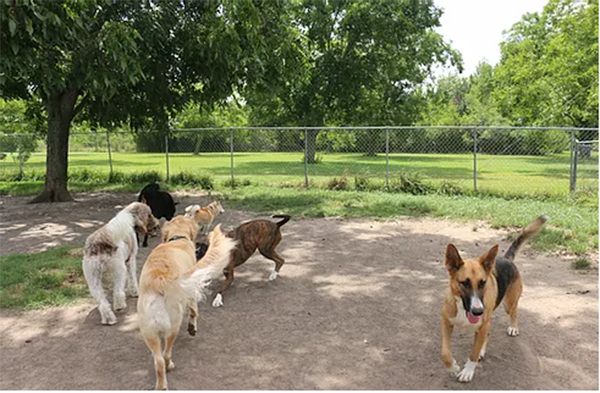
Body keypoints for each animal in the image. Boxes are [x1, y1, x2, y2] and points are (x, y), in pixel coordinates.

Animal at [137, 217, 236, 388]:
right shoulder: (190, 289)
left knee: (158, 360)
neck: (177, 238)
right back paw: (170, 366)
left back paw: (161, 385)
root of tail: (159, 279)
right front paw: (192, 328)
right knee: (166, 354)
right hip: (173, 325)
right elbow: (194, 310)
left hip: (148, 331)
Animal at [440, 213, 548, 382]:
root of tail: (506, 259)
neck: (464, 309)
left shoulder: (482, 325)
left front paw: (468, 371)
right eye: (464, 283)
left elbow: (473, 353)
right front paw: (453, 367)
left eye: (483, 282)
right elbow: (444, 353)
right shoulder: (446, 322)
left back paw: (513, 327)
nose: (478, 311)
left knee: (514, 312)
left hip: (508, 304)